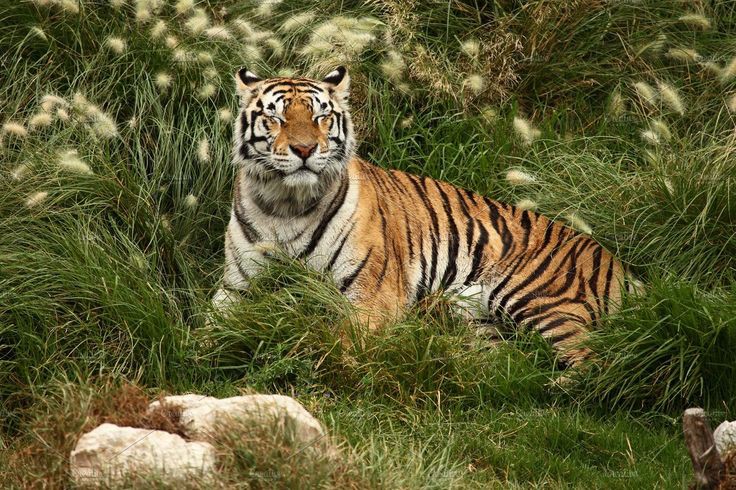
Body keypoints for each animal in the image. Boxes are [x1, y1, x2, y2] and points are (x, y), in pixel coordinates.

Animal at [213, 66, 633, 368]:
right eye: (276, 118)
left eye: (321, 117)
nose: (304, 149)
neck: (286, 205)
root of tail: (619, 265)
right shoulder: (234, 287)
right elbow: (210, 329)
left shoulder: (372, 296)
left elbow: (338, 340)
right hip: (473, 319)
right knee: (505, 360)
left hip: (537, 294)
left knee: (591, 362)